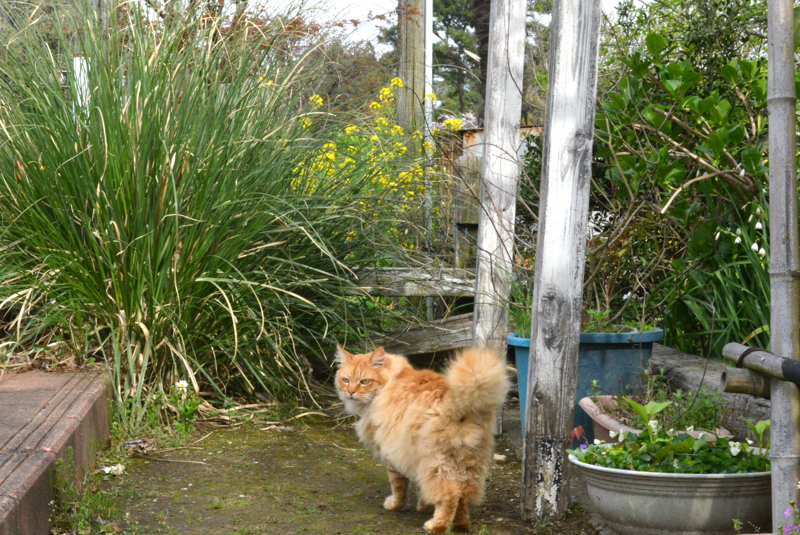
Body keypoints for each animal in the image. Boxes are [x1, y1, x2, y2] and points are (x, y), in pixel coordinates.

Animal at [335, 345, 510, 534]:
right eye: (346, 380)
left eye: (364, 381)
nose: (350, 392)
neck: (393, 379)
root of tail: (459, 400)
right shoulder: (413, 459)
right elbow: (420, 486)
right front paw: (424, 506)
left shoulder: (393, 455)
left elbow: (398, 487)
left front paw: (396, 506)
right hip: (468, 463)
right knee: (463, 495)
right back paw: (460, 525)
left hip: (436, 461)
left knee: (450, 494)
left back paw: (436, 526)